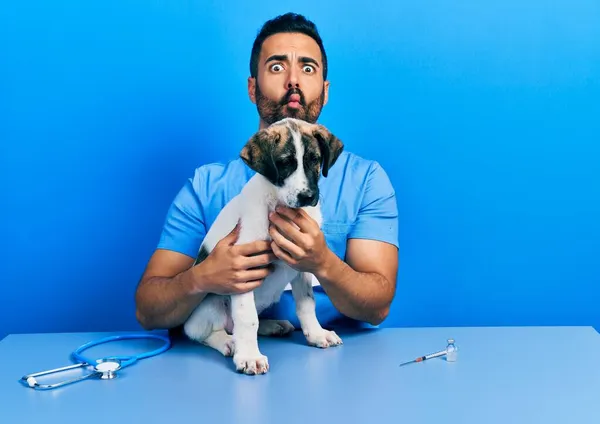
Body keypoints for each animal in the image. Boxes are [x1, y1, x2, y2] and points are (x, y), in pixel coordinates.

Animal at [180, 117, 344, 374]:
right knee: (203, 331)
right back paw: (228, 342)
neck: (277, 203)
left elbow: (307, 303)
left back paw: (271, 325)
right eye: (284, 163)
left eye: (314, 159)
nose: (307, 196)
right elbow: (247, 318)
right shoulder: (243, 268)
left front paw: (317, 334)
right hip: (210, 303)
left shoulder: (303, 264)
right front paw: (249, 356)